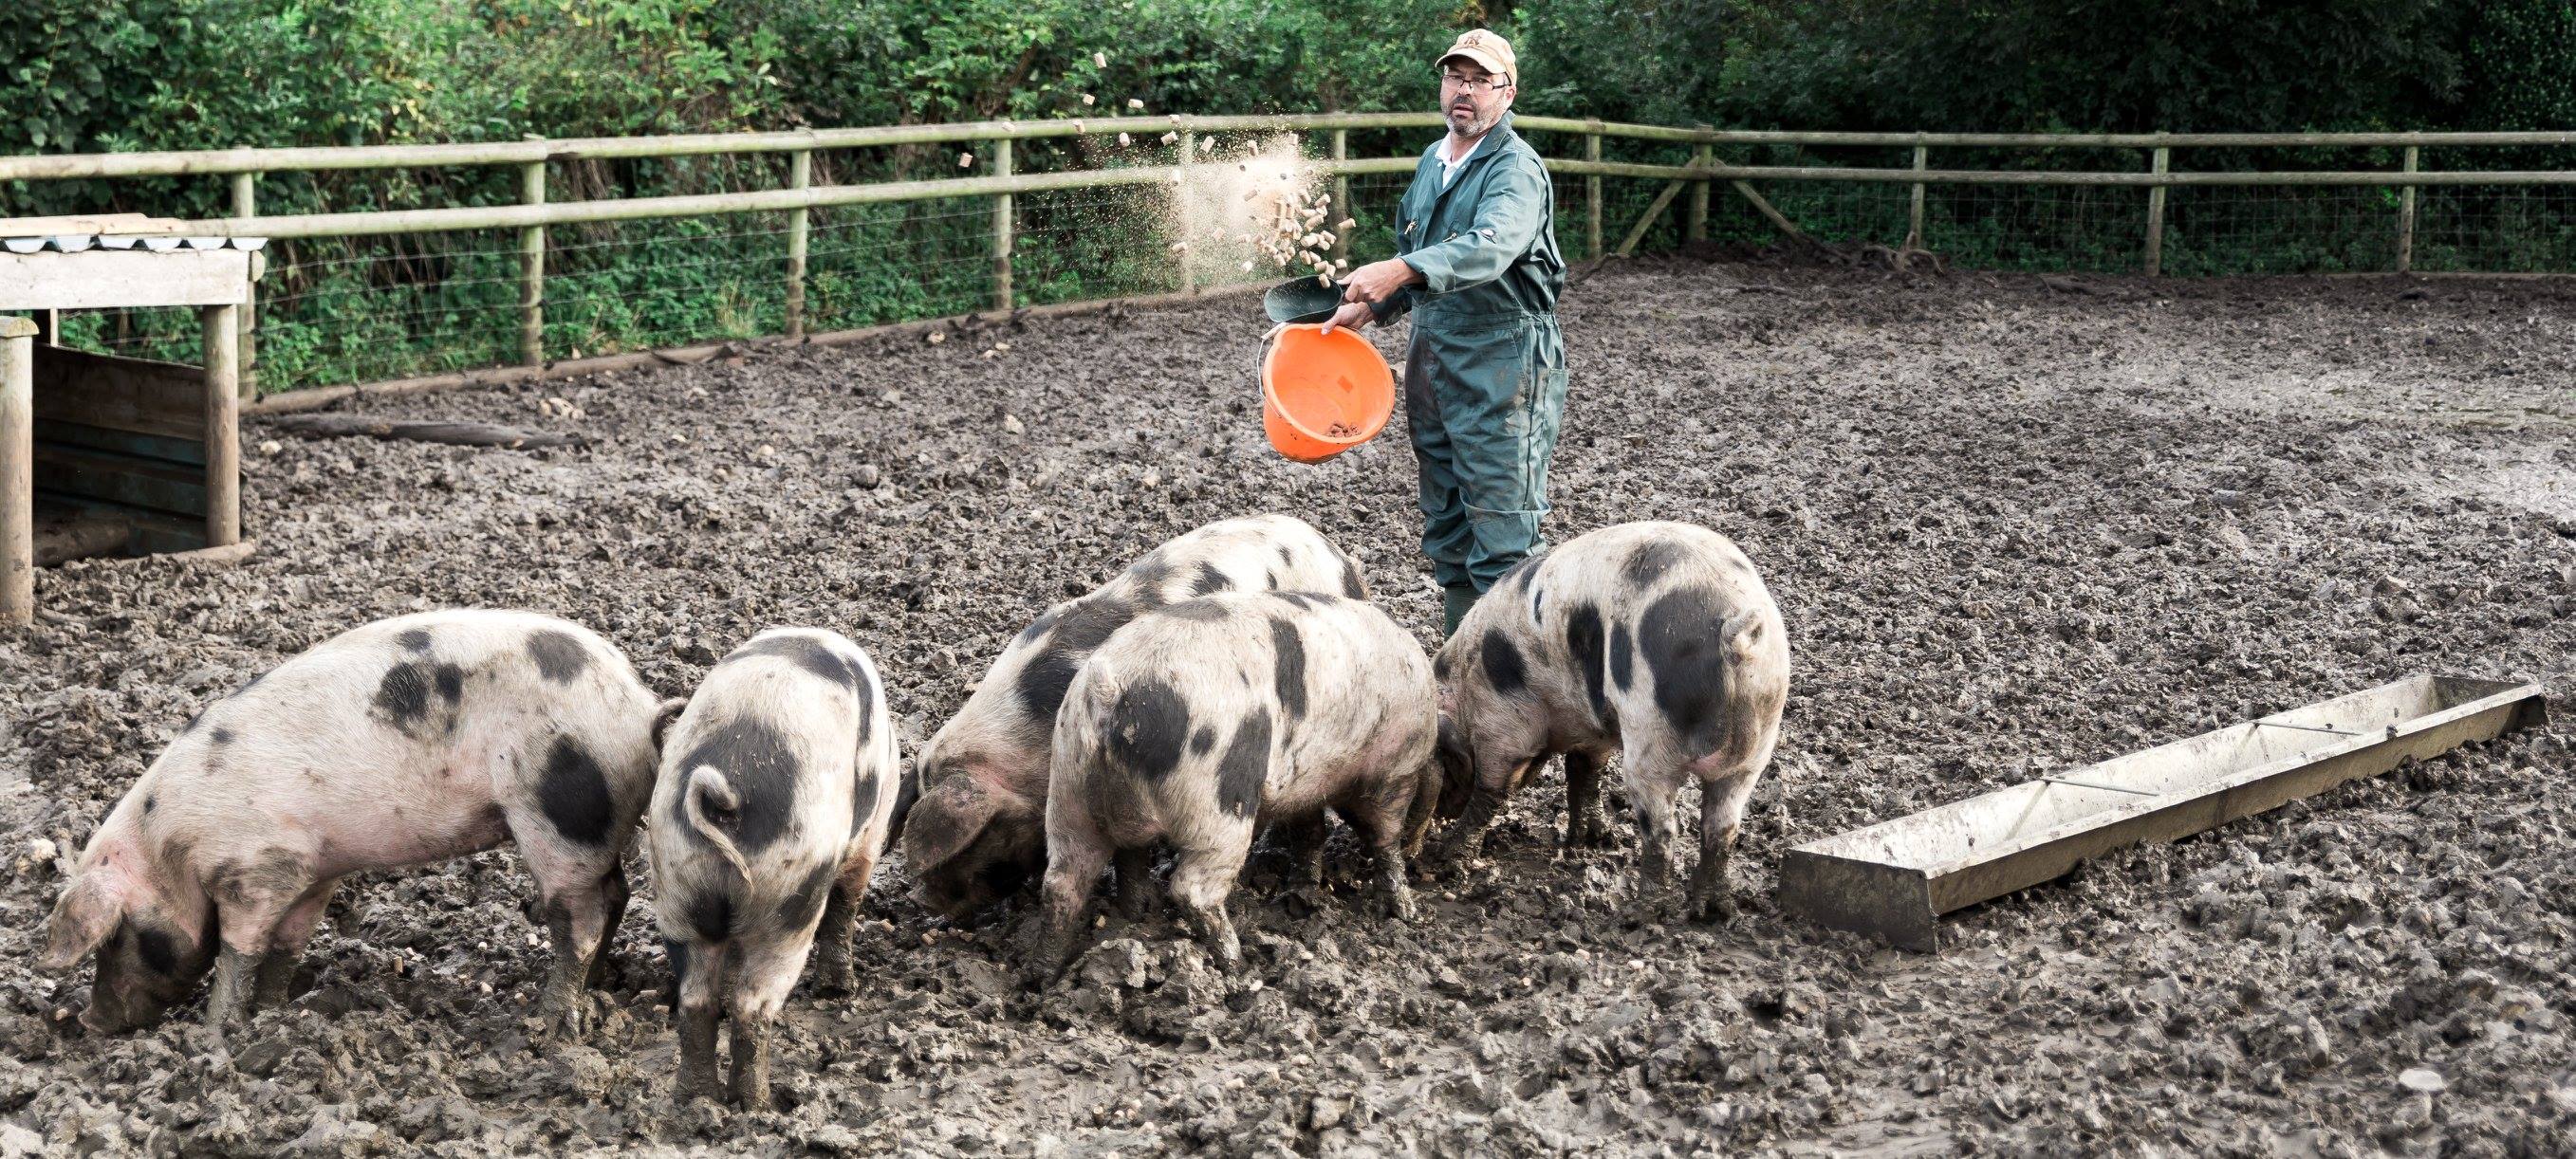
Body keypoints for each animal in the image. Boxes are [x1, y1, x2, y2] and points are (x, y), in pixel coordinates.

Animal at [39, 610, 659, 1035]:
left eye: (115, 937)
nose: (91, 1023)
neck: (172, 846)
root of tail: (639, 704)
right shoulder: (312, 870)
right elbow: (287, 945)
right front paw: (273, 1013)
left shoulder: (255, 869)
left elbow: (239, 950)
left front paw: (215, 1032)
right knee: (616, 892)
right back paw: (597, 986)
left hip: (558, 813)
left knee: (578, 915)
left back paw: (552, 1023)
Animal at [649, 628, 901, 1107]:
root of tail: (718, 796)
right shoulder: (869, 837)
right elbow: (847, 902)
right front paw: (839, 989)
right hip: (788, 899)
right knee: (753, 1006)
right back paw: (758, 1105)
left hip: (677, 887)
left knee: (696, 1002)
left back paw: (696, 1099)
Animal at [1030, 589, 1442, 978]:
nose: (1420, 851)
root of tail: (1109, 693)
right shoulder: (1392, 771)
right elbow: (1382, 837)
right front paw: (1406, 912)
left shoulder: (1303, 787)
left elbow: (1310, 831)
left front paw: (1303, 892)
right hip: (1218, 799)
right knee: (1192, 889)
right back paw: (1237, 963)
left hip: (1068, 789)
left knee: (1064, 882)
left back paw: (1053, 969)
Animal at [1432, 520, 1792, 916]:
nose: (1439, 815)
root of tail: (1734, 634)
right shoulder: (1596, 727)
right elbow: (1584, 773)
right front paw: (1587, 841)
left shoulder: (1503, 724)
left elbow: (1491, 790)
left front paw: (1448, 860)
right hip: (1757, 745)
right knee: (1723, 826)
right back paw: (1712, 910)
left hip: (1650, 737)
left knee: (1663, 828)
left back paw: (1643, 911)